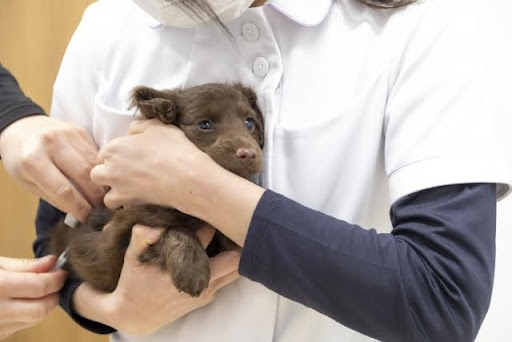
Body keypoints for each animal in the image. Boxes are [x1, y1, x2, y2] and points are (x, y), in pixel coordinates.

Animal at [50, 83, 266, 296]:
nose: (248, 154)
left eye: (249, 123)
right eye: (204, 125)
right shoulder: (110, 246)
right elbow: (172, 229)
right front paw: (191, 268)